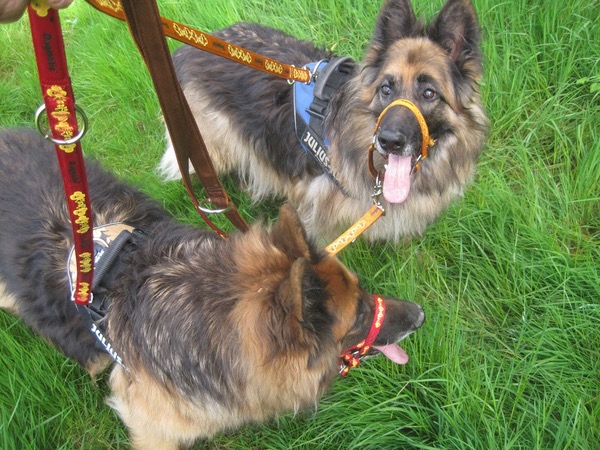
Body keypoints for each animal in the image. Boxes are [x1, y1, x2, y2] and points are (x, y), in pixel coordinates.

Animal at [158, 0, 488, 243]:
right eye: (386, 89)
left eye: (429, 93)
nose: (389, 141)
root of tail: (187, 48)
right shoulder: (316, 207)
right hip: (214, 146)